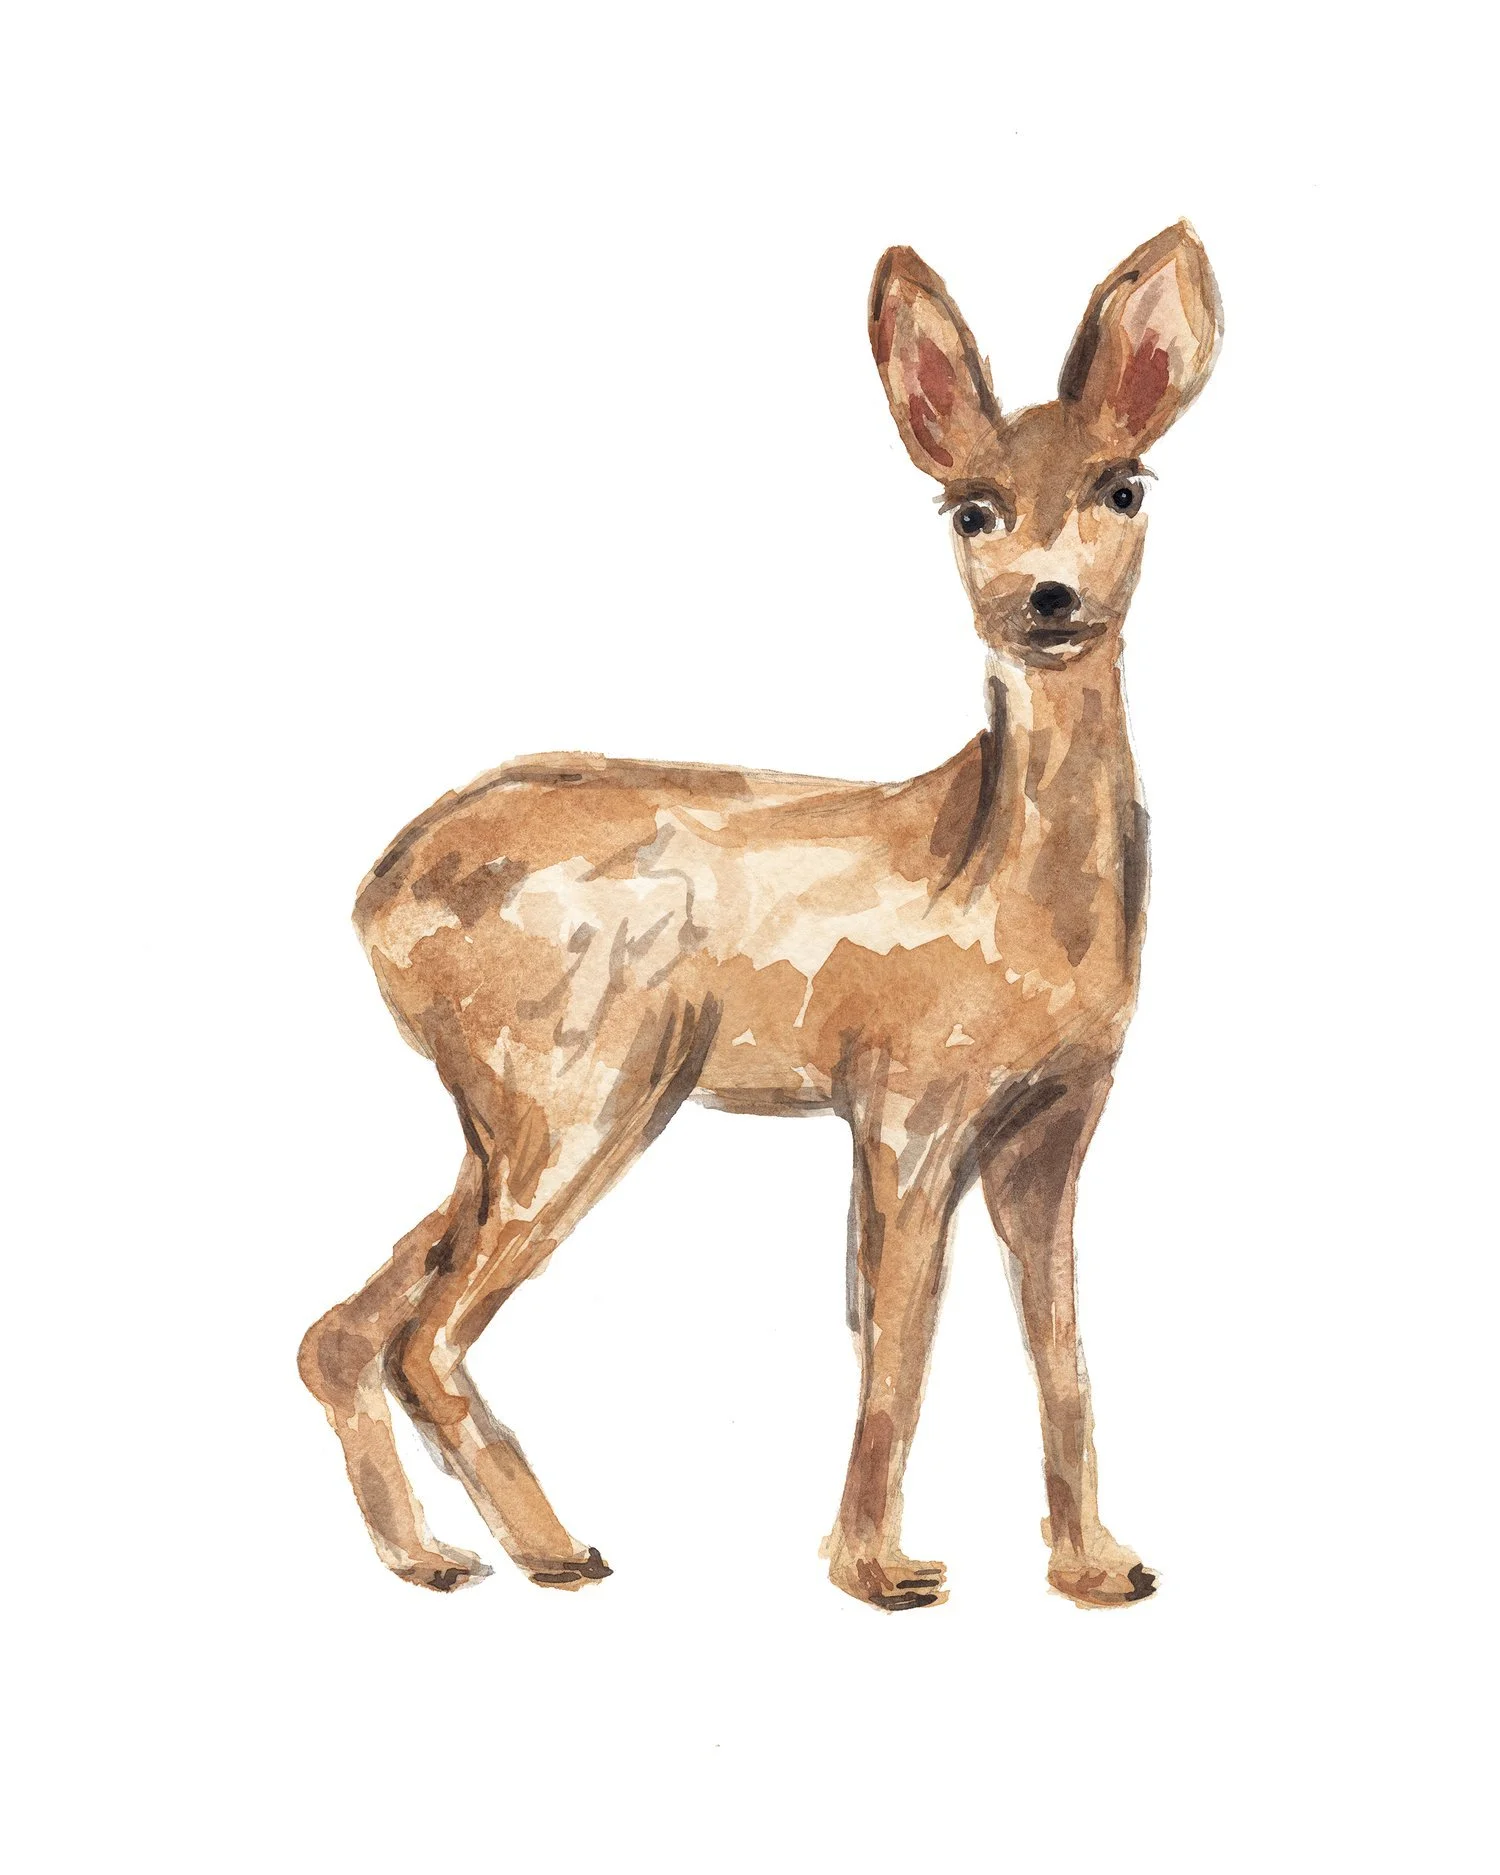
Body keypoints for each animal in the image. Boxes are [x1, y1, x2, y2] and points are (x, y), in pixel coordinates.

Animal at [300, 222, 1222, 1611]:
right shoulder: (906, 1099)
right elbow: (895, 1340)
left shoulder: (1055, 1123)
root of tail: (373, 892)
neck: (997, 889)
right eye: (971, 508)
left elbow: (1061, 1347)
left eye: (1125, 487)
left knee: (346, 1331)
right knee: (423, 1334)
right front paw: (880, 1572)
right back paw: (560, 1551)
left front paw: (1099, 1568)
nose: (1048, 600)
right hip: (587, 1088)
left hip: (506, 1114)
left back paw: (435, 1559)